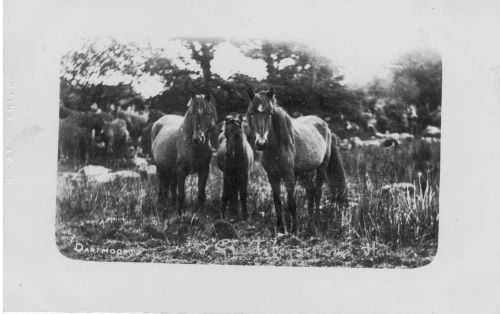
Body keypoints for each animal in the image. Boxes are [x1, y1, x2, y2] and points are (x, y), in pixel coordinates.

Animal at [247, 88, 348, 233]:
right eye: (251, 113)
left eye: (270, 113)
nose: (261, 143)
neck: (276, 147)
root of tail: (326, 127)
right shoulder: (272, 176)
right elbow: (277, 202)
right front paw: (280, 228)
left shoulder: (289, 175)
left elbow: (291, 203)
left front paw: (294, 230)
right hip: (305, 171)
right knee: (310, 191)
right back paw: (310, 222)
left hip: (321, 168)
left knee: (318, 192)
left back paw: (317, 221)